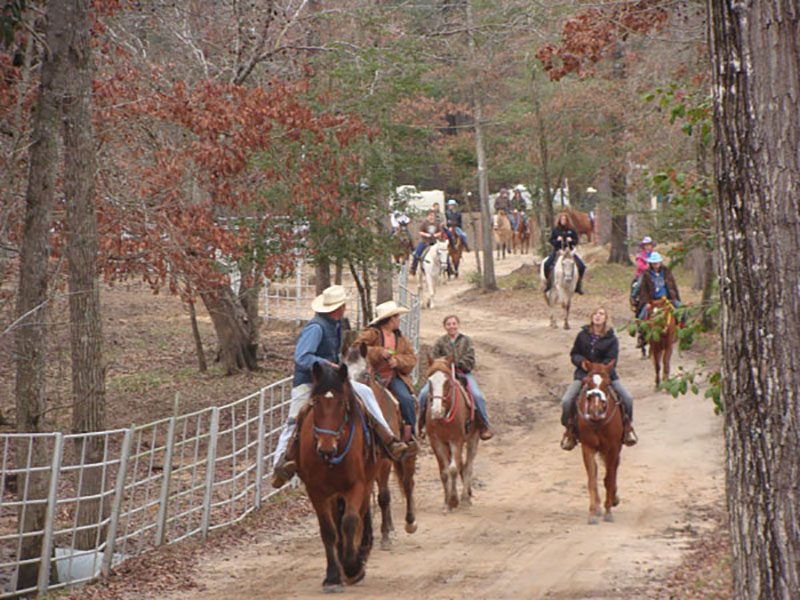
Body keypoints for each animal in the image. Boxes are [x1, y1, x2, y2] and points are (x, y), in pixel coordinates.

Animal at [296, 360, 380, 592]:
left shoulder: (357, 486)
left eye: (342, 403)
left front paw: (353, 568)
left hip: (366, 484)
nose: (326, 447)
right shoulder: (317, 492)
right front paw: (333, 576)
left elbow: (350, 521)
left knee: (358, 518)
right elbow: (329, 531)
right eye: (315, 402)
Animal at [344, 342, 418, 548]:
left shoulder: (384, 462)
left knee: (407, 484)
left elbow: (384, 496)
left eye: (365, 374)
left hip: (407, 455)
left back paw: (409, 522)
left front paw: (384, 536)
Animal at [424, 356, 482, 510]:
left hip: (472, 439)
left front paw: (454, 500)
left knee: (468, 466)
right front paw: (446, 501)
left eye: (447, 382)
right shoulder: (436, 442)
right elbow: (444, 472)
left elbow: (454, 469)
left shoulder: (457, 440)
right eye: (429, 381)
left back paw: (465, 498)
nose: (436, 411)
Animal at [576, 358, 624, 524]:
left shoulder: (613, 448)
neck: (598, 422)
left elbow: (610, 477)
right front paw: (593, 512)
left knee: (613, 472)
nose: (595, 411)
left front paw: (608, 510)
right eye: (588, 383)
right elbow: (592, 478)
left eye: (607, 383)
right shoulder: (587, 448)